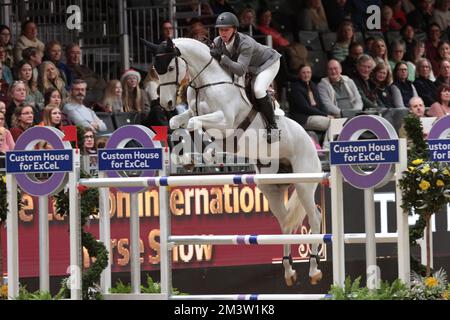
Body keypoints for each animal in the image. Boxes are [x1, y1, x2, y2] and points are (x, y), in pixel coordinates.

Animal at [142, 37, 322, 284]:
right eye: (155, 70)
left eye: (170, 68)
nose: (167, 103)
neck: (205, 83)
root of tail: (310, 141)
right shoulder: (192, 113)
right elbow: (177, 122)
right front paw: (188, 157)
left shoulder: (225, 120)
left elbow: (195, 124)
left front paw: (208, 153)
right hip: (271, 188)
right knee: (286, 222)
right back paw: (289, 272)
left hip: (304, 184)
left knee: (315, 218)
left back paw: (314, 270)